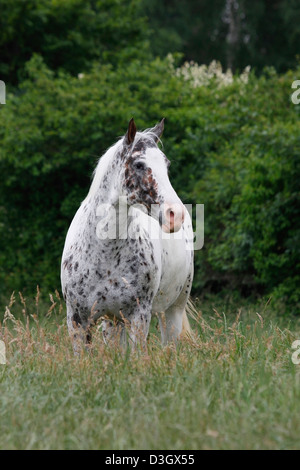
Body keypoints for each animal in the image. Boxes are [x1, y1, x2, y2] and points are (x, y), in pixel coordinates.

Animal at [61, 119, 195, 350]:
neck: (104, 254)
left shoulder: (139, 316)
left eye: (166, 164)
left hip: (172, 311)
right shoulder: (77, 320)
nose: (175, 215)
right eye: (139, 164)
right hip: (113, 322)